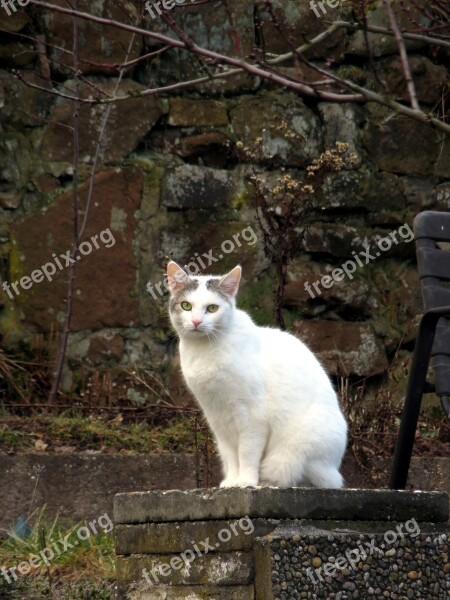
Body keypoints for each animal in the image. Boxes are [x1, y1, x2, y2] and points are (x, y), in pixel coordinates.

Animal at [167, 262, 346, 488]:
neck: (204, 352)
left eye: (212, 308)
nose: (197, 322)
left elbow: (246, 453)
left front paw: (246, 481)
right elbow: (230, 455)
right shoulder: (218, 419)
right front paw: (232, 481)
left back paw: (266, 483)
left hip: (290, 454)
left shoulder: (253, 418)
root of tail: (334, 469)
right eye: (186, 306)